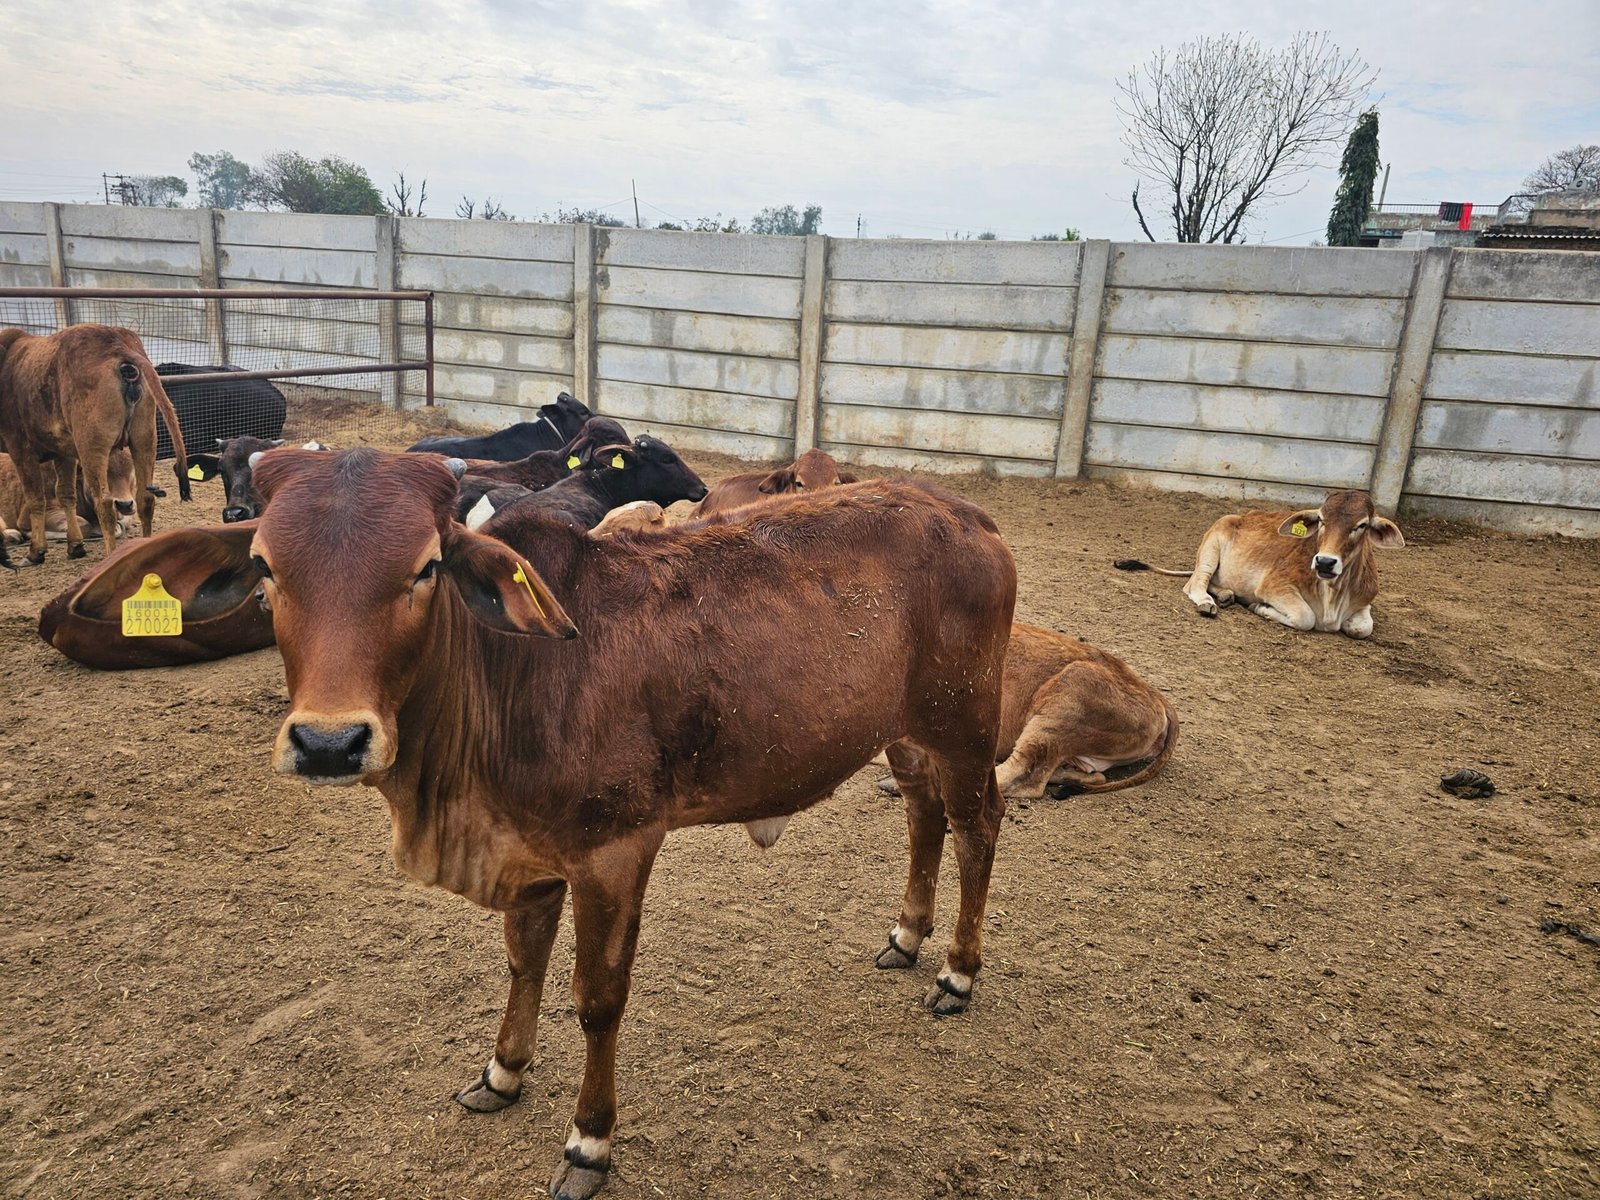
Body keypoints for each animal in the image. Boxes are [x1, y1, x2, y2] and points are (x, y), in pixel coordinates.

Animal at [0, 324, 189, 563]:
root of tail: (117, 344)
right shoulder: (64, 454)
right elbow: (66, 494)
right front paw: (75, 545)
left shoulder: (20, 448)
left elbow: (36, 498)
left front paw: (36, 551)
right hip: (144, 439)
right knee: (145, 498)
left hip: (92, 447)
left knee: (105, 504)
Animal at [1114, 489, 1404, 638]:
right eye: (1321, 519)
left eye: (1362, 525)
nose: (1324, 562)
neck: (1332, 596)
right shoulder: (1274, 586)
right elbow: (1306, 617)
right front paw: (1258, 607)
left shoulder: (1365, 602)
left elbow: (1362, 628)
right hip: (1211, 546)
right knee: (1195, 583)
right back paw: (1209, 603)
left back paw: (1226, 595)